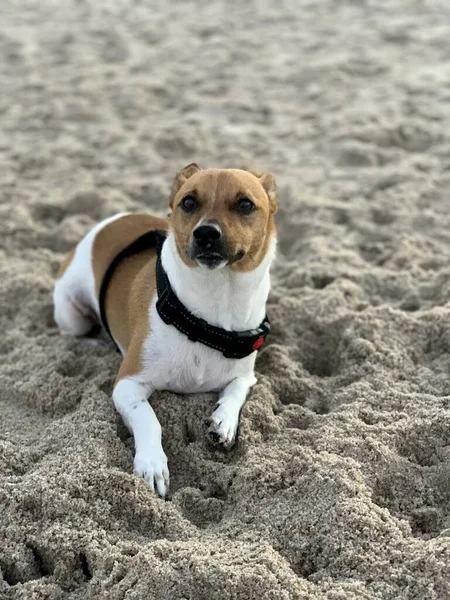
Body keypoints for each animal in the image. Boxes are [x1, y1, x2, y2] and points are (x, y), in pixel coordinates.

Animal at [54, 164, 276, 496]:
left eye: (245, 204)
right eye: (189, 202)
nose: (205, 232)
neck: (210, 313)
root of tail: (110, 221)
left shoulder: (247, 376)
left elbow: (235, 391)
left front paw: (223, 420)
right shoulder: (127, 385)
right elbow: (150, 419)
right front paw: (152, 463)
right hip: (72, 314)